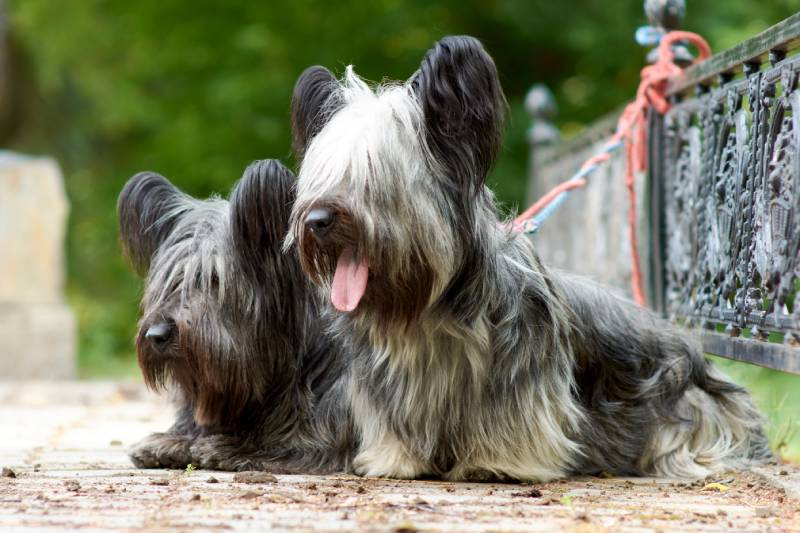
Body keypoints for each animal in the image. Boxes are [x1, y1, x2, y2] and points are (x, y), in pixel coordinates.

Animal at [119, 160, 354, 472]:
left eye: (213, 279)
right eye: (168, 281)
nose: (157, 335)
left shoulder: (333, 433)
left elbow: (297, 444)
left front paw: (230, 447)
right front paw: (171, 441)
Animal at [286, 35, 768, 480]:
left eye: (371, 177)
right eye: (320, 176)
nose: (317, 220)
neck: (431, 307)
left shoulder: (521, 372)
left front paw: (497, 463)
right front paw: (397, 459)